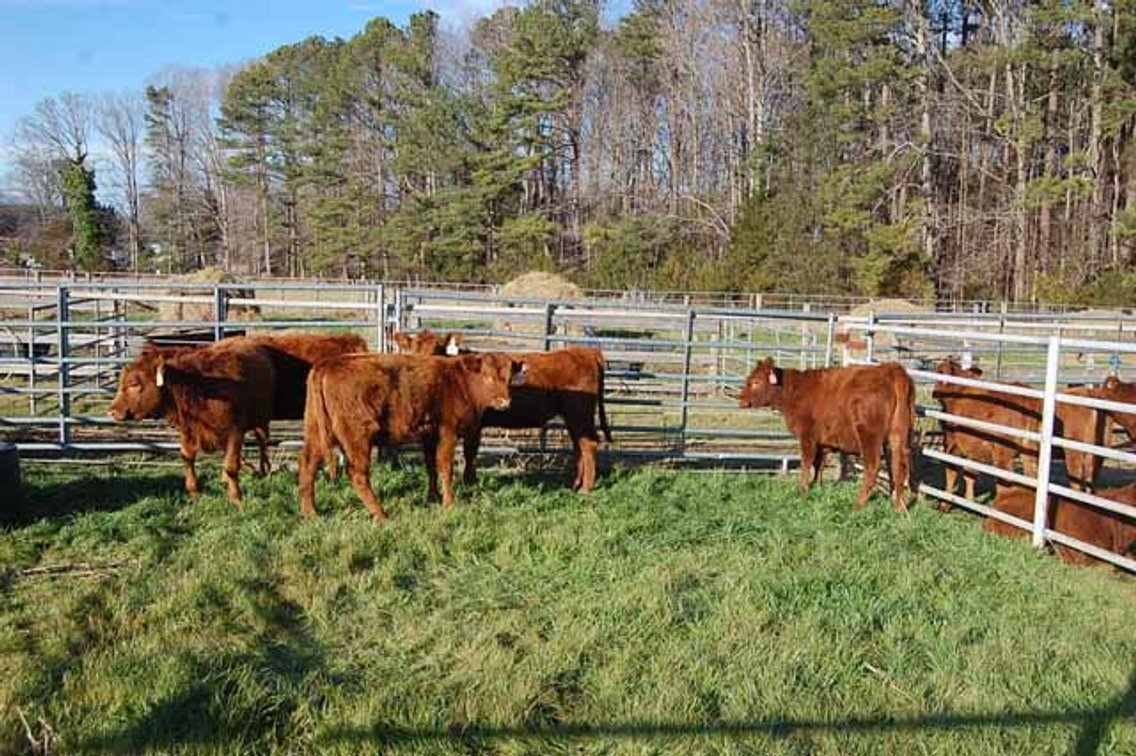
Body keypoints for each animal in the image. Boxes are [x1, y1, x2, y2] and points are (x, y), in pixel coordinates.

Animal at [108, 339, 275, 503]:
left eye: (134, 383)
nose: (112, 411)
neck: (201, 388)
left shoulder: (235, 431)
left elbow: (231, 465)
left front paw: (236, 498)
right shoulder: (187, 428)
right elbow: (187, 458)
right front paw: (194, 491)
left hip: (260, 419)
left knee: (262, 442)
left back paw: (264, 469)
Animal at [298, 352, 528, 522]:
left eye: (509, 378)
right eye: (488, 376)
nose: (504, 402)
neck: (460, 382)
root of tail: (328, 364)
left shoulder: (430, 436)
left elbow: (431, 467)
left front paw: (433, 497)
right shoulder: (448, 431)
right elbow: (445, 466)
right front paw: (449, 503)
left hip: (316, 432)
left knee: (308, 465)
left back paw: (311, 512)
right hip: (358, 438)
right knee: (357, 474)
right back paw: (381, 514)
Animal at [738, 358, 914, 512]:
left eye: (756, 382)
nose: (740, 400)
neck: (795, 390)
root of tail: (892, 370)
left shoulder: (807, 436)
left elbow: (807, 462)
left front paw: (803, 489)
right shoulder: (823, 442)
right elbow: (819, 464)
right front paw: (817, 486)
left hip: (870, 437)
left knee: (873, 466)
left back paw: (858, 505)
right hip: (898, 437)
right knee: (899, 467)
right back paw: (899, 507)